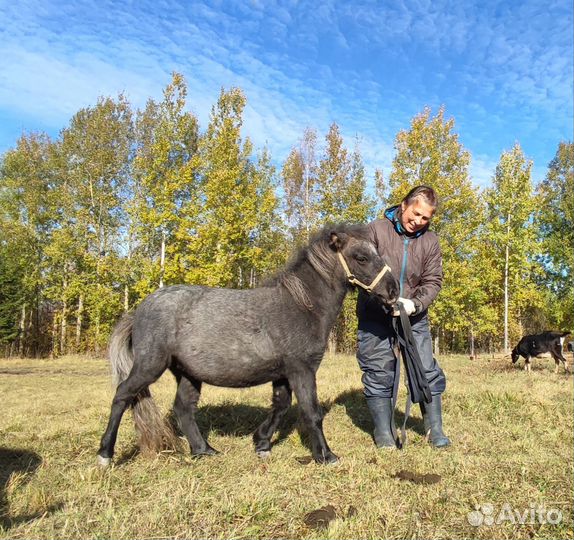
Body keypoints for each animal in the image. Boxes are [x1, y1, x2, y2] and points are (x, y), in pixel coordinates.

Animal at [97, 224, 398, 464]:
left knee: (183, 408)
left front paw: (261, 443)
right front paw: (326, 455)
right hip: (150, 366)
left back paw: (204, 450)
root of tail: (139, 310)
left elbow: (281, 406)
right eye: (361, 257)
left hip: (188, 374)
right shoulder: (302, 370)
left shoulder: (284, 374)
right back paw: (105, 454)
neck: (302, 307)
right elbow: (311, 412)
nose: (393, 290)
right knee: (122, 395)